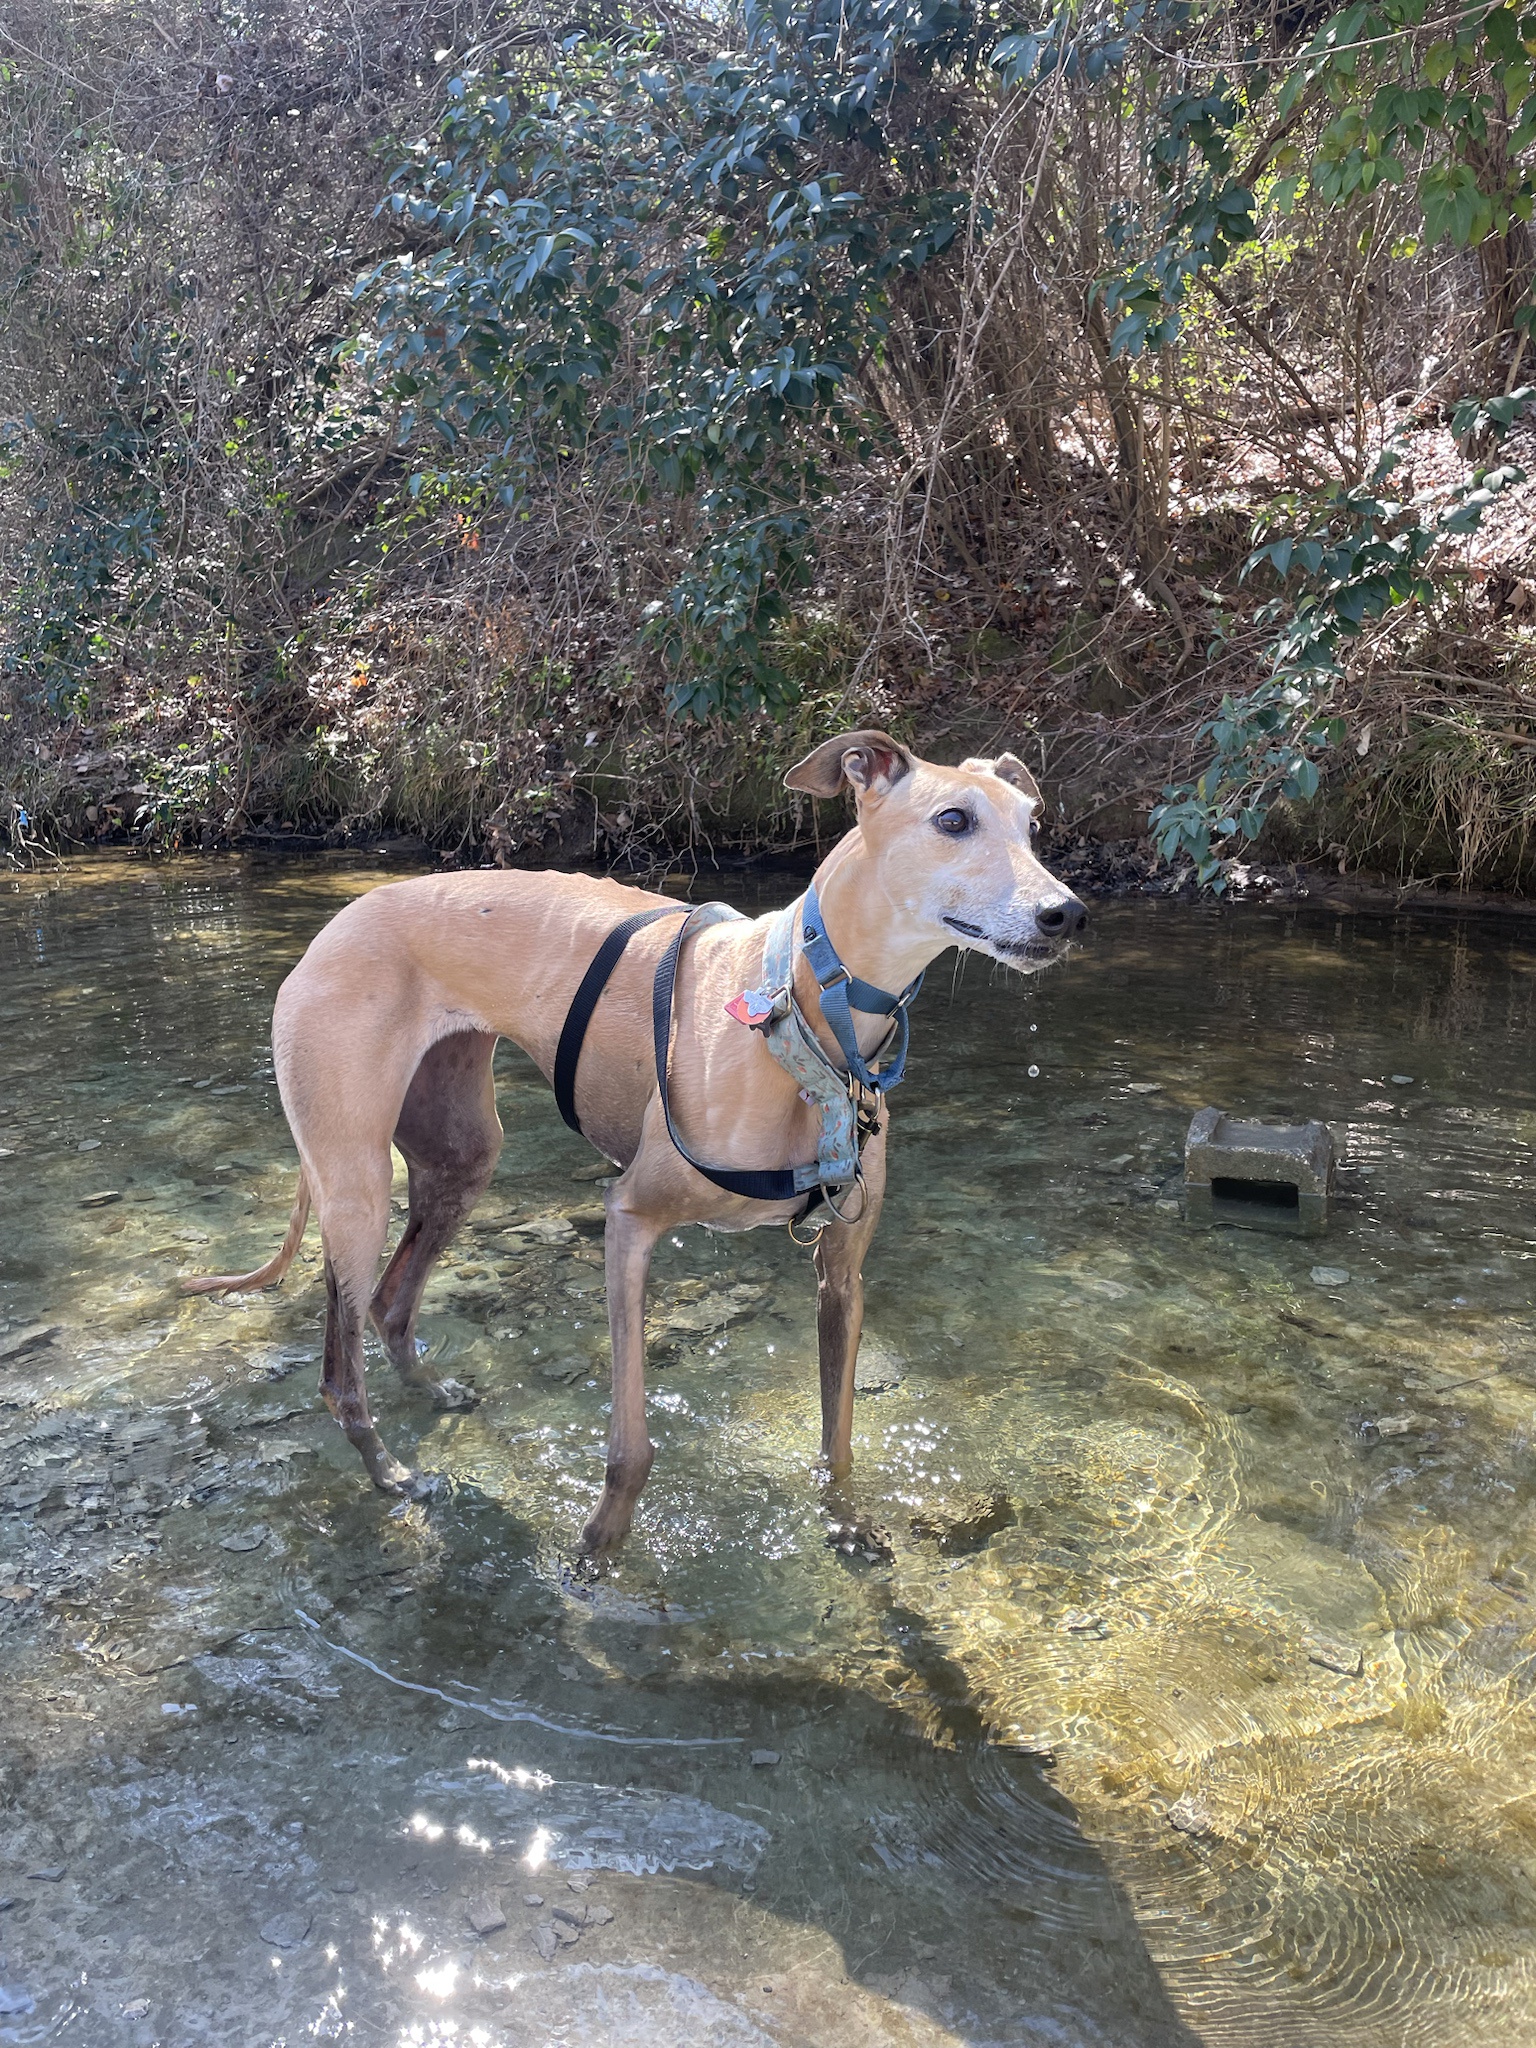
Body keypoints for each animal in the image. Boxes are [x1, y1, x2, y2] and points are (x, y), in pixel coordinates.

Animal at [186, 729, 1089, 1540]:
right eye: (952, 820)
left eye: (1032, 824)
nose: (1067, 914)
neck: (800, 1016)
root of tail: (339, 922)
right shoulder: (631, 1221)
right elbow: (630, 1444)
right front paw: (599, 1550)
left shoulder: (842, 1270)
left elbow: (837, 1439)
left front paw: (847, 1529)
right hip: (357, 1183)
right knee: (340, 1367)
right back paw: (390, 1474)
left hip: (462, 1154)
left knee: (390, 1302)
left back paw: (433, 1394)